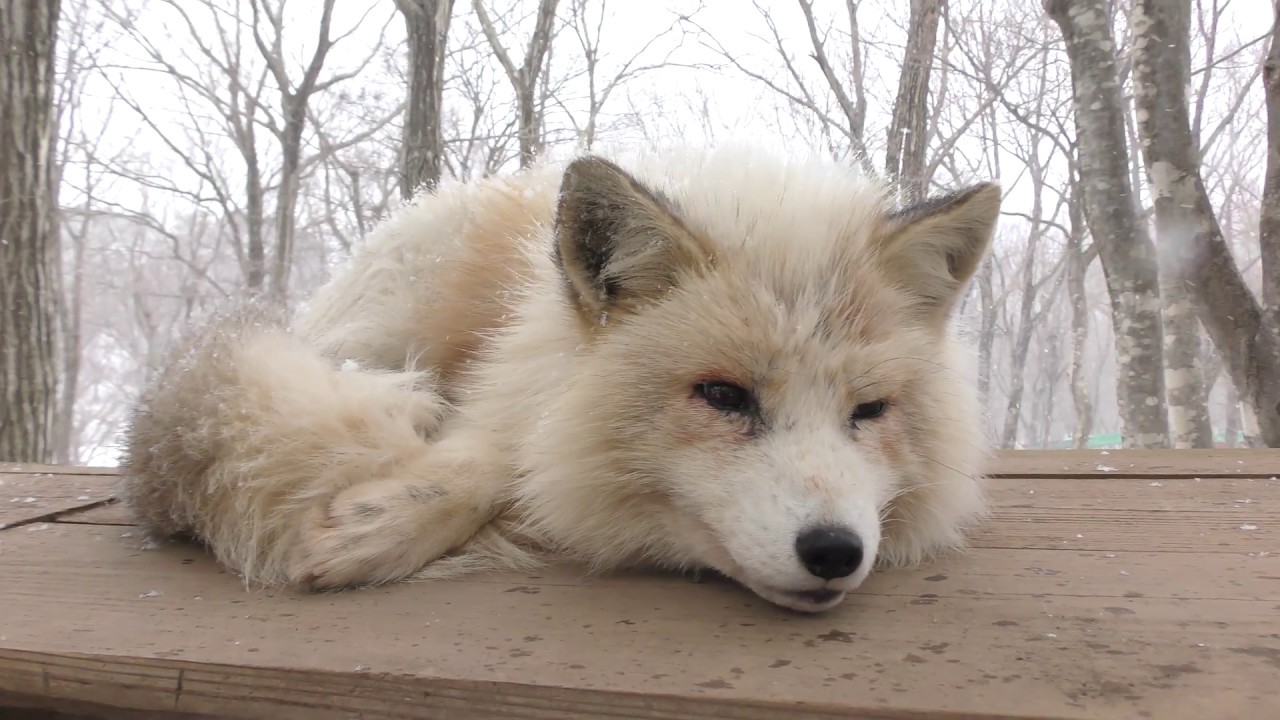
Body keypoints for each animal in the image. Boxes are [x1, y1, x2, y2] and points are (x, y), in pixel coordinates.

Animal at [120, 145, 1000, 613]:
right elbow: (492, 448)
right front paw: (383, 524)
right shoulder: (514, 376)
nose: (833, 550)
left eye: (871, 410)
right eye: (723, 396)